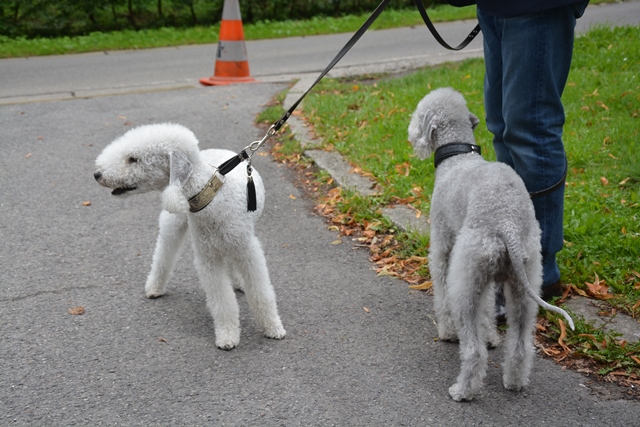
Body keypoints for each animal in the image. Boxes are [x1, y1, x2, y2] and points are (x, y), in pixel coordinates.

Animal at [94, 122, 284, 350]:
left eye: (133, 159)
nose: (97, 174)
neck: (212, 198)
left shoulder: (247, 250)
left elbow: (261, 293)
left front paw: (273, 328)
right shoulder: (208, 259)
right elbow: (222, 300)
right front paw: (227, 336)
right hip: (174, 222)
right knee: (164, 254)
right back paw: (155, 287)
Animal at [408, 88, 576, 402]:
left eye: (419, 113)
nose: (411, 134)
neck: (458, 157)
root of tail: (507, 224)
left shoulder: (444, 248)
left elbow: (442, 291)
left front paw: (447, 331)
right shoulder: (484, 278)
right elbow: (488, 307)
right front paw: (491, 336)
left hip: (467, 276)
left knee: (473, 350)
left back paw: (463, 390)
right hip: (523, 280)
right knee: (521, 342)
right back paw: (515, 381)